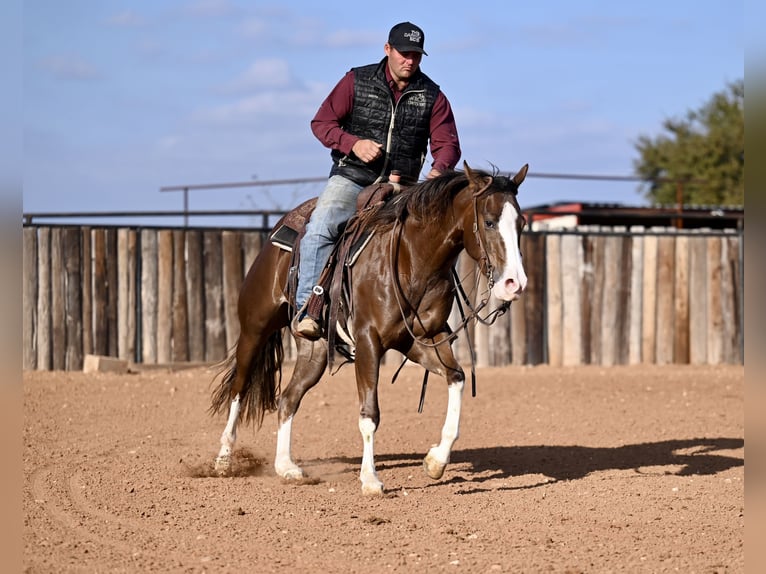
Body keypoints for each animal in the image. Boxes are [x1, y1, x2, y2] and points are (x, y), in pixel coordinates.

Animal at [213, 162, 532, 496]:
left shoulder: (421, 339)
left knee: (288, 398)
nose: (515, 284)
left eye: (521, 223)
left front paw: (436, 461)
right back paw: (224, 460)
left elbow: (456, 378)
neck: (411, 259)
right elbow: (370, 413)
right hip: (255, 329)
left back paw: (286, 466)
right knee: (239, 388)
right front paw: (370, 479)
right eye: (489, 221)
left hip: (314, 351)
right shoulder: (368, 340)